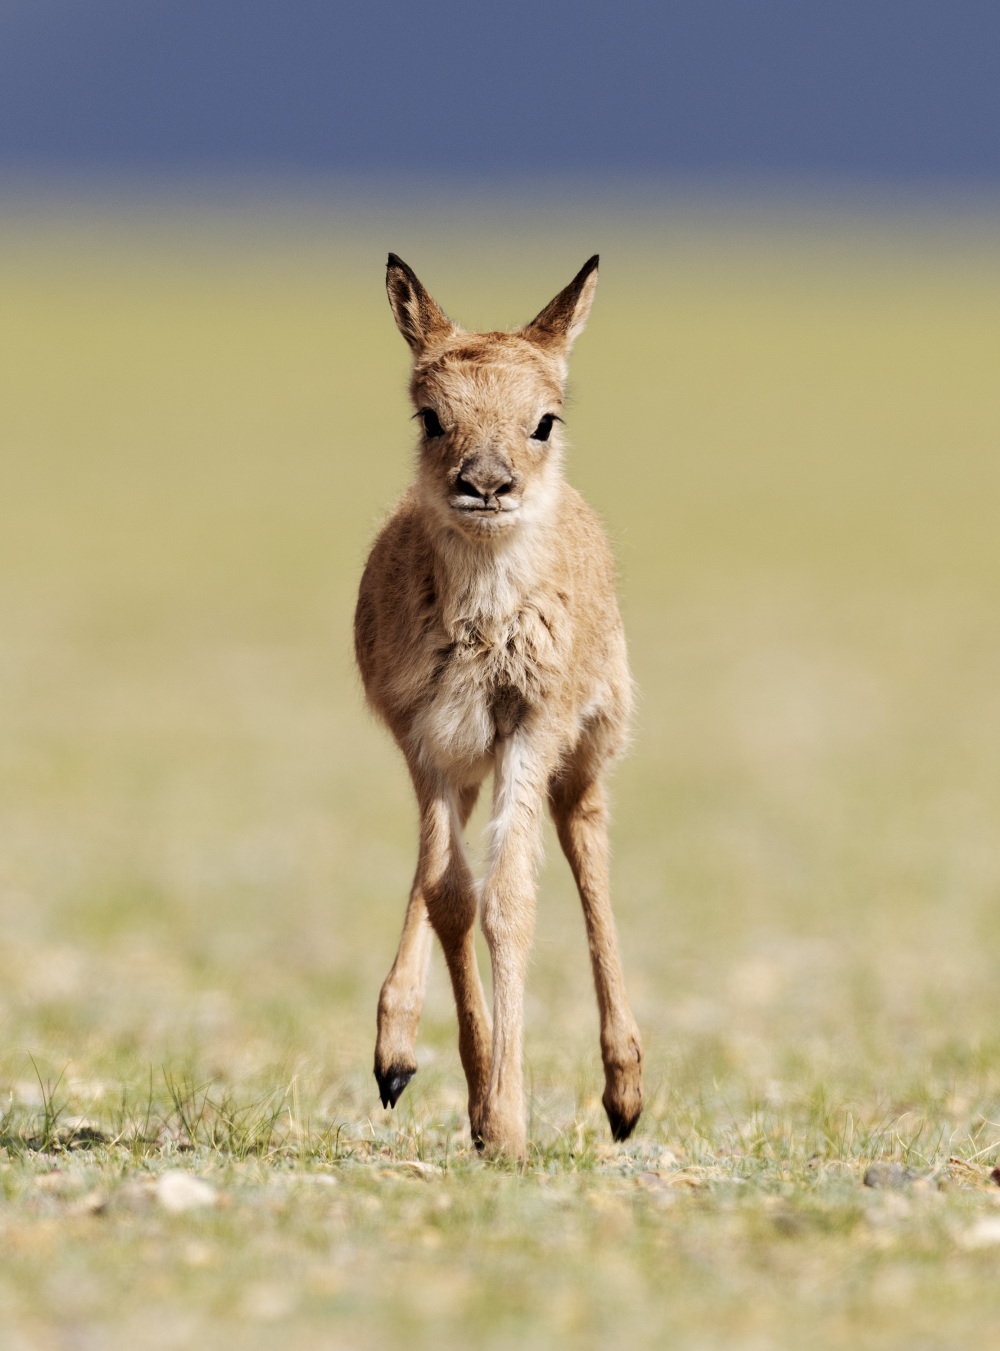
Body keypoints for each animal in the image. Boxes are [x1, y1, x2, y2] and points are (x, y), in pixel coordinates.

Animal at [356, 255, 643, 1161]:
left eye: (544, 420)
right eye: (430, 415)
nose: (485, 482)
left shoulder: (532, 725)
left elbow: (510, 896)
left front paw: (509, 1123)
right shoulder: (427, 740)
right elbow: (451, 893)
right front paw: (480, 1102)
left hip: (583, 751)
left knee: (586, 839)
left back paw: (626, 1090)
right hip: (463, 761)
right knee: (439, 877)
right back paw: (395, 1053)